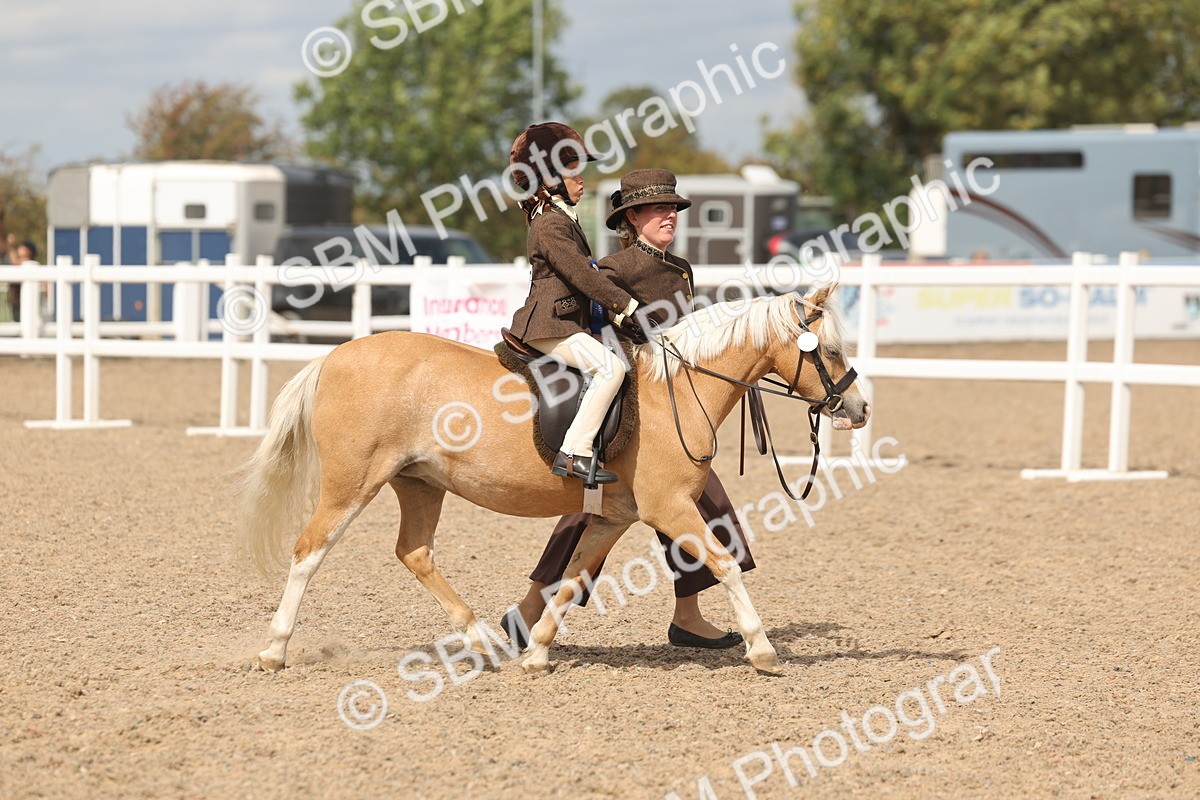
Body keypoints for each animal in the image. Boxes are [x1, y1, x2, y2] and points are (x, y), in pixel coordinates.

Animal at [237, 285, 870, 675]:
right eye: (829, 349)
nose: (859, 408)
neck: (674, 390)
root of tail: (335, 356)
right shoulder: (670, 509)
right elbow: (725, 565)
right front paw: (763, 649)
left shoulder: (615, 517)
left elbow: (571, 580)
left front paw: (538, 653)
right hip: (351, 486)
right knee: (309, 551)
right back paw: (274, 649)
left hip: (420, 483)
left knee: (414, 552)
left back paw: (483, 641)